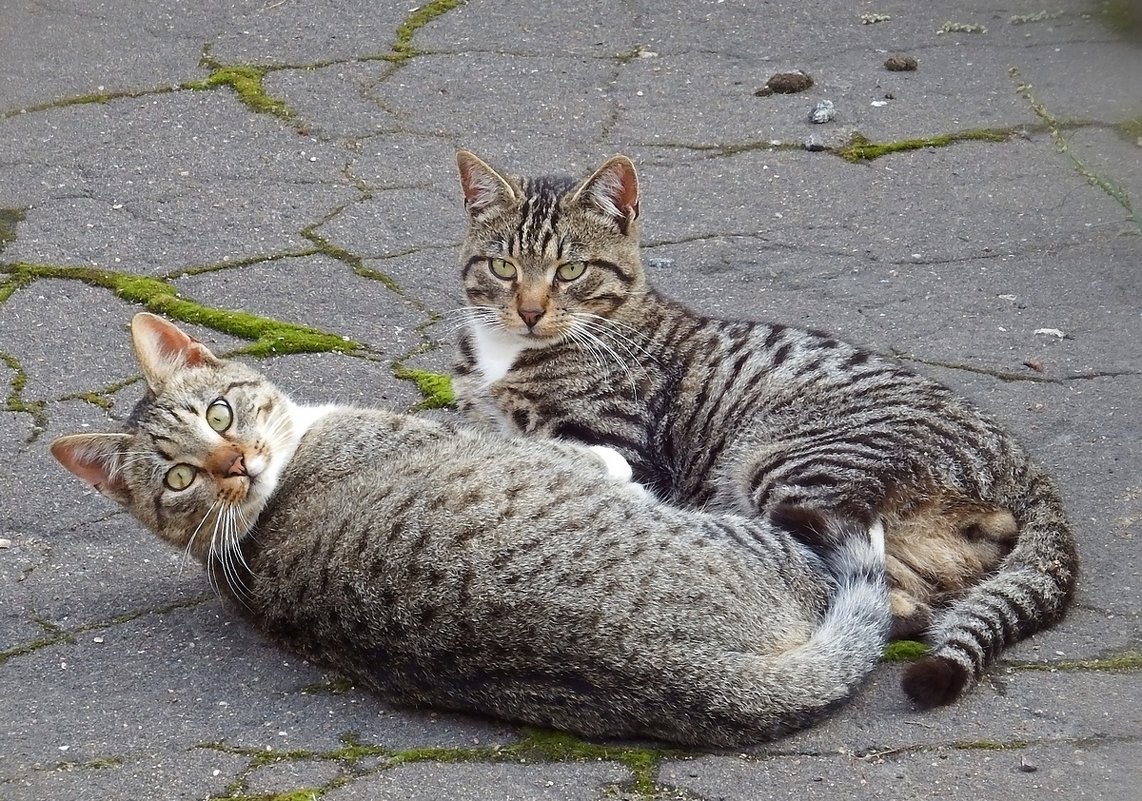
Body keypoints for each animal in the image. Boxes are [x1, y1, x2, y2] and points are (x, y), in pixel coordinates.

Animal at [49, 310, 890, 745]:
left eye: (221, 414)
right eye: (180, 478)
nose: (234, 464)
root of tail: (681, 670)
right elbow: (581, 454)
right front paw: (600, 458)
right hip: (767, 540)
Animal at [447, 149, 1078, 703]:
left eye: (571, 270)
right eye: (503, 266)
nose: (530, 311)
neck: (508, 355)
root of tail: (1014, 456)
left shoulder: (623, 442)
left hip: (785, 460)